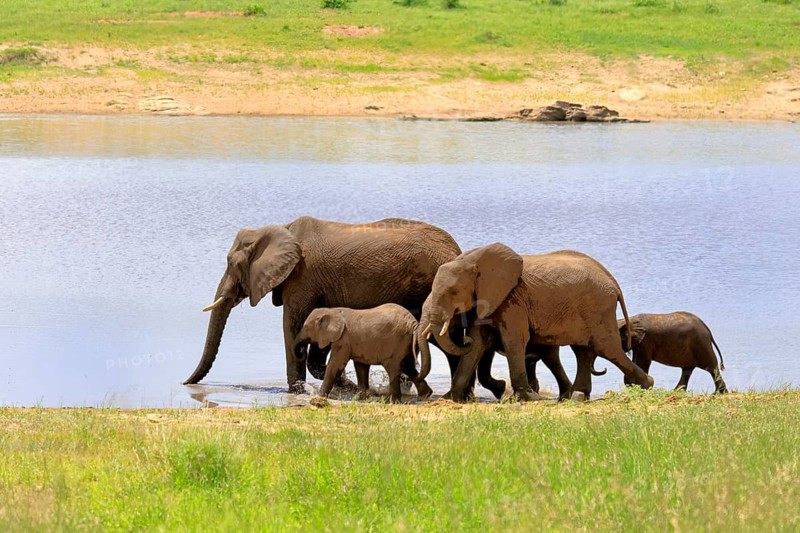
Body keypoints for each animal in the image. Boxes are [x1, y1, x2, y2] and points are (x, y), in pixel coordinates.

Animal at [295, 304, 433, 402]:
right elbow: (361, 367)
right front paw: (363, 399)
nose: (301, 351)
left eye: (305, 327)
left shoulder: (343, 340)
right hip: (407, 342)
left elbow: (335, 364)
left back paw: (392, 401)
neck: (332, 310)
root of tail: (413, 323)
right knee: (408, 366)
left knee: (393, 368)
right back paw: (425, 395)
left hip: (397, 341)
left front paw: (319, 397)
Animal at [417, 243, 654, 402]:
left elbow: (514, 339)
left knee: (606, 348)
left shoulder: (512, 299)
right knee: (584, 351)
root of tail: (613, 282)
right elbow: (478, 343)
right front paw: (453, 399)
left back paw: (646, 385)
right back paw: (576, 396)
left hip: (598, 307)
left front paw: (526, 398)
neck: (471, 259)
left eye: (453, 292)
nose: (461, 337)